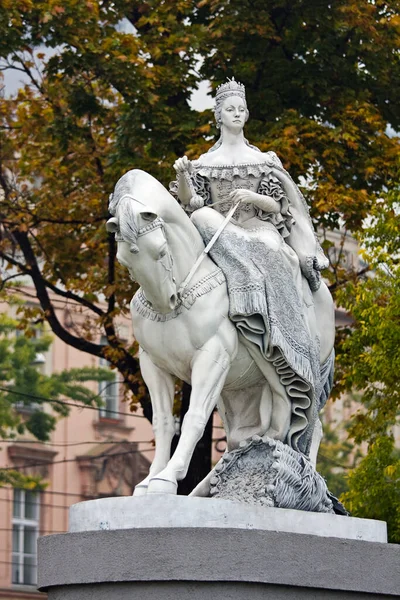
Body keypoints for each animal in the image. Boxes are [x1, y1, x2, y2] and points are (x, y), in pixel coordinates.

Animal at [106, 169, 334, 496]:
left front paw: (168, 477)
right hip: (246, 392)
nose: (167, 303)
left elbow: (194, 417)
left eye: (160, 251)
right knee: (247, 437)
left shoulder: (213, 357)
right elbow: (162, 422)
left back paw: (309, 483)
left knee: (312, 430)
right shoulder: (152, 364)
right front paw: (149, 481)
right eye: (124, 261)